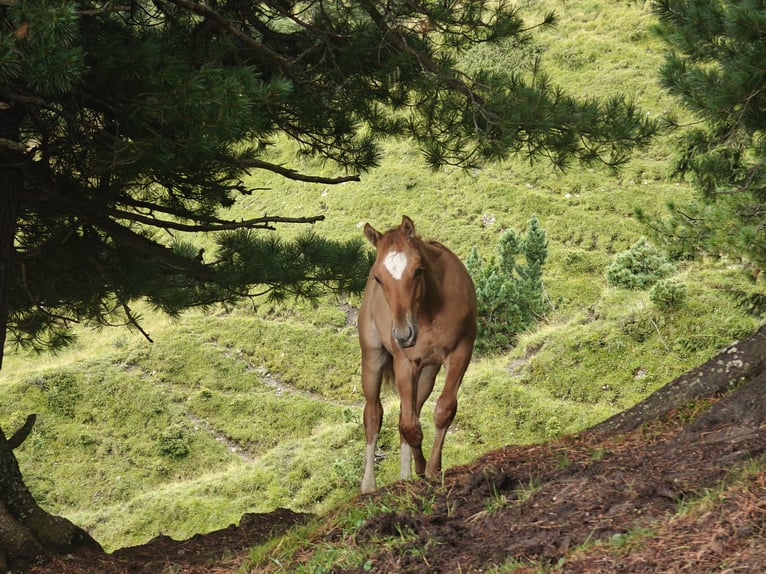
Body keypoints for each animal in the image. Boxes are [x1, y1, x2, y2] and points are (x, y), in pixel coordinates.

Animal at [358, 215, 477, 493]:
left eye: (418, 270)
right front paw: (423, 468)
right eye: (379, 278)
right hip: (373, 359)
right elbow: (409, 426)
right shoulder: (405, 363)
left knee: (410, 410)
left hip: (428, 373)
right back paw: (369, 485)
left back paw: (406, 476)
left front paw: (431, 469)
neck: (429, 312)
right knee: (373, 415)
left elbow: (442, 410)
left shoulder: (461, 351)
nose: (403, 335)